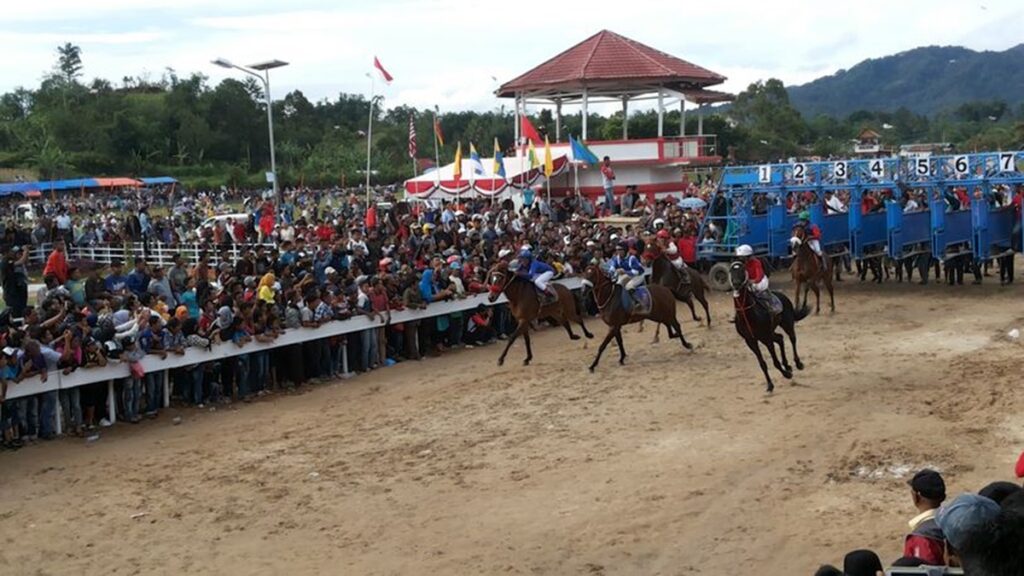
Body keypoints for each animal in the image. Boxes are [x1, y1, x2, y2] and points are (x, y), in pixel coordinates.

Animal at [729, 261, 806, 391]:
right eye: (731, 271)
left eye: (741, 270)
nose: (736, 284)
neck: (748, 315)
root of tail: (782, 296)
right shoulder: (751, 341)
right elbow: (762, 363)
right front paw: (770, 384)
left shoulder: (766, 338)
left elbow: (775, 361)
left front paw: (786, 374)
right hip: (770, 333)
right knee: (780, 338)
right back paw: (787, 365)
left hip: (786, 323)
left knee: (792, 338)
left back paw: (798, 363)